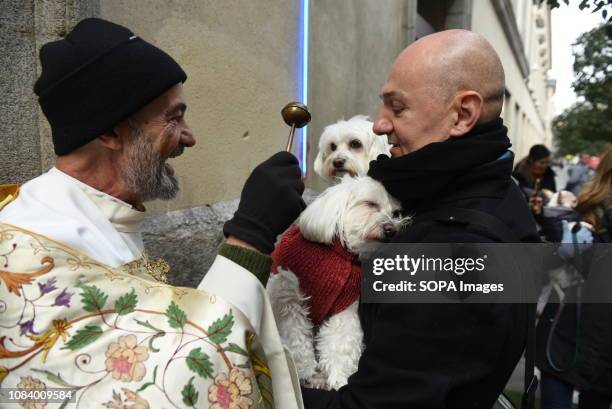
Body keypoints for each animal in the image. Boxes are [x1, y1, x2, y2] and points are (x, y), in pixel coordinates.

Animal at [268, 175, 406, 388]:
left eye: (395, 213)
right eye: (370, 204)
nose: (392, 230)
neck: (340, 253)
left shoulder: (344, 305)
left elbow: (341, 342)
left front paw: (339, 377)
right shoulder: (289, 301)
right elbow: (296, 337)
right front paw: (304, 370)